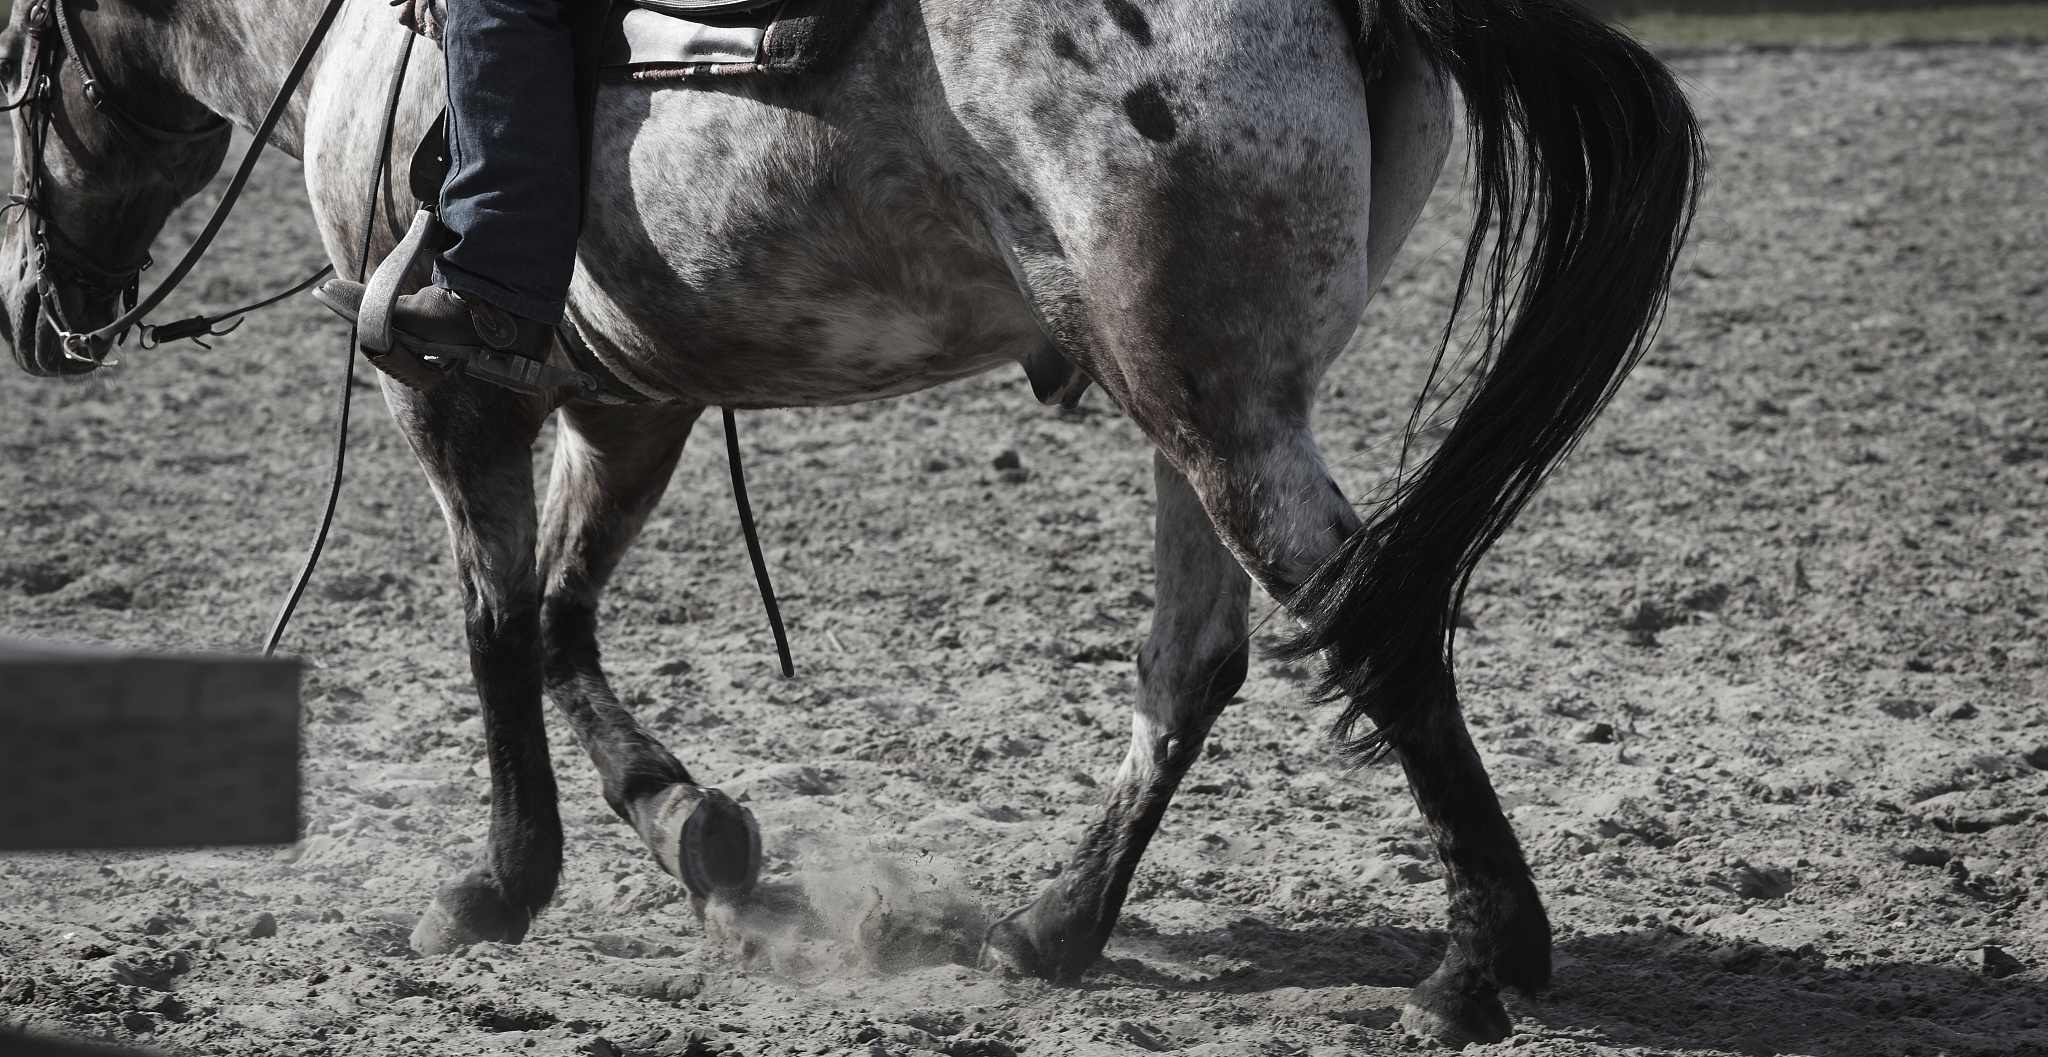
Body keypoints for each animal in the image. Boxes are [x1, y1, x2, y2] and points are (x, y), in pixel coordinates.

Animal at [0, 0, 1700, 1043]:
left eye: (12, 49)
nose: (35, 314)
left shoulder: (456, 385)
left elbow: (492, 626)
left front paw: (503, 884)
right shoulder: (631, 395)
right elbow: (559, 619)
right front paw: (693, 828)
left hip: (1213, 399)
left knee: (1374, 622)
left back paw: (1472, 965)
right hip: (1211, 397)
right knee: (1198, 657)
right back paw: (1051, 927)